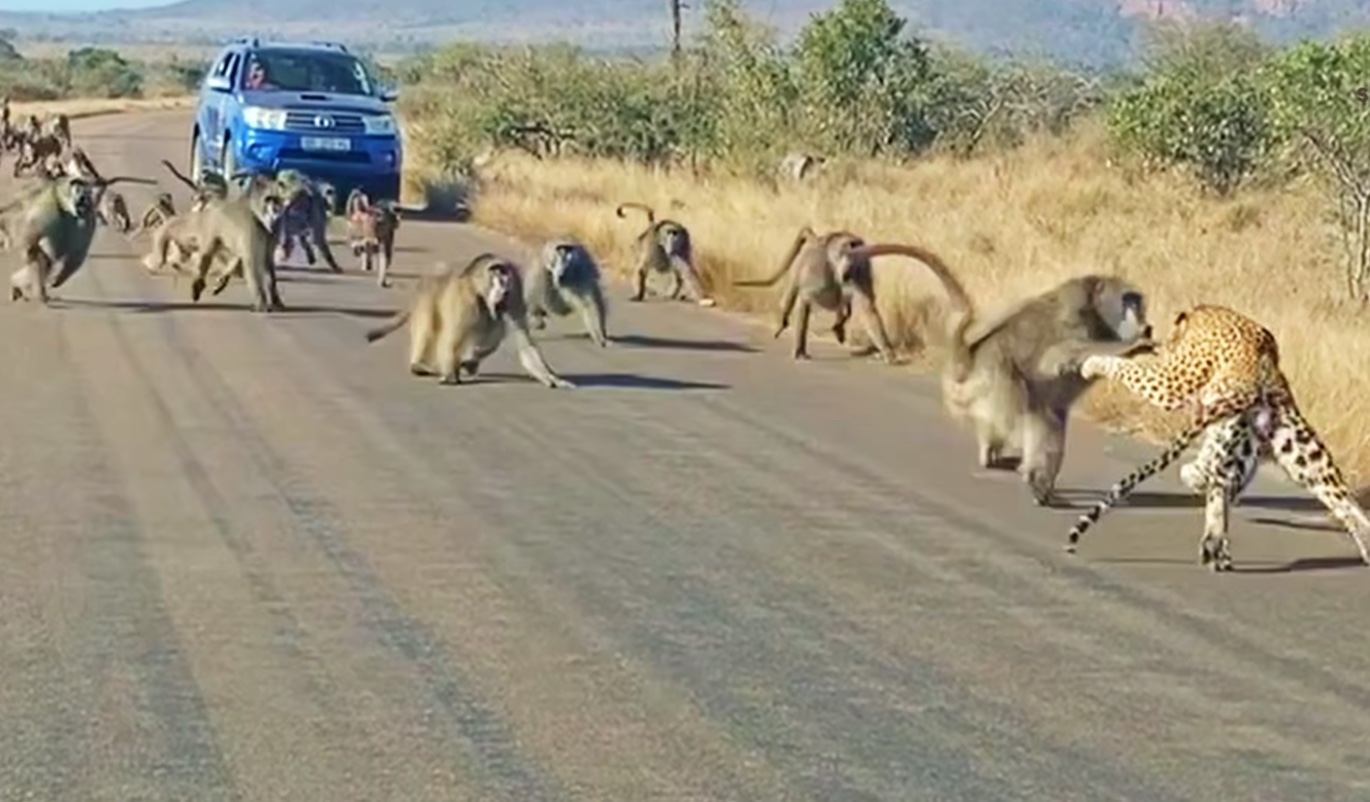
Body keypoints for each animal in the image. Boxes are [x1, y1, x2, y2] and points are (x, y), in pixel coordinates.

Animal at [1068, 301, 1370, 570]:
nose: (1162, 346)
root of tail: (1257, 383)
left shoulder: (1173, 381)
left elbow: (1130, 369)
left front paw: (1091, 363)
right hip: (1296, 448)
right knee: (1340, 499)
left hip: (1227, 431)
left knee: (1214, 480)